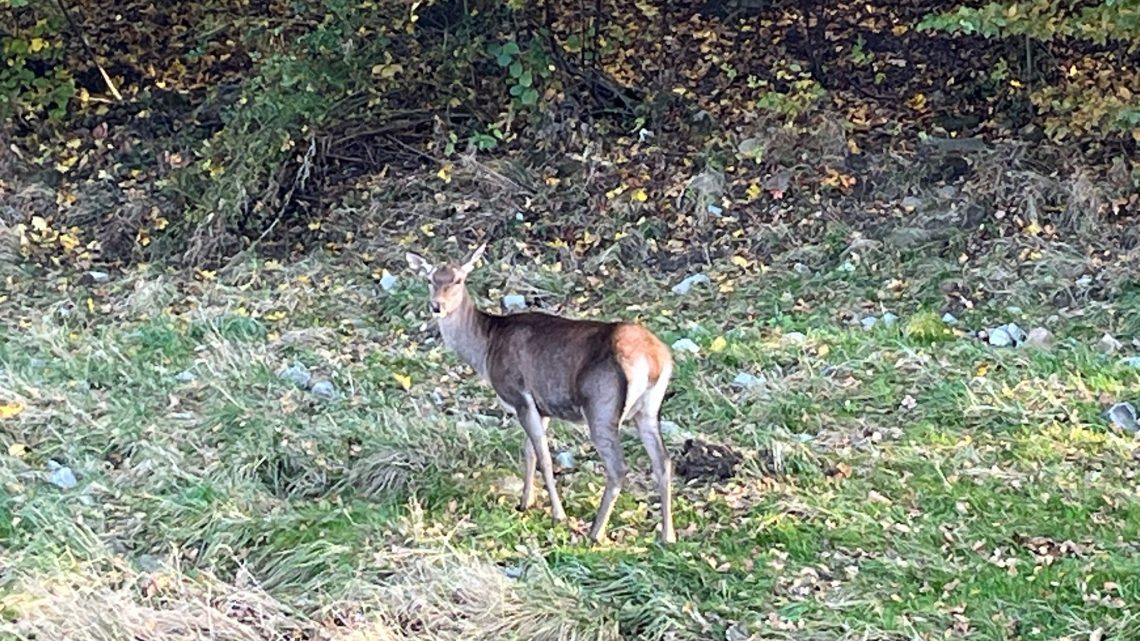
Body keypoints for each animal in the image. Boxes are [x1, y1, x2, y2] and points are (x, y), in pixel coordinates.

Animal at [408, 241, 674, 540]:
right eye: (430, 279)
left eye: (458, 279)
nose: (437, 306)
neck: (486, 348)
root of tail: (656, 359)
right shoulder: (542, 405)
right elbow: (530, 452)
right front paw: (525, 502)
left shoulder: (519, 394)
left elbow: (544, 457)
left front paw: (558, 514)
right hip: (648, 409)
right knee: (663, 461)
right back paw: (668, 535)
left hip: (601, 405)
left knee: (618, 467)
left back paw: (595, 532)